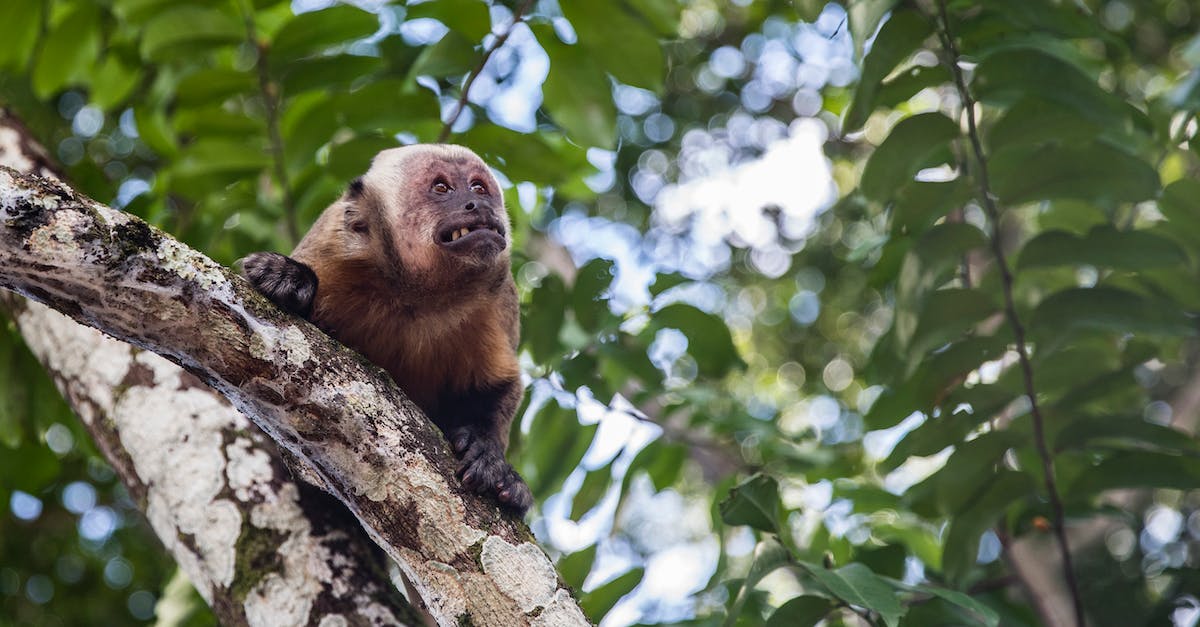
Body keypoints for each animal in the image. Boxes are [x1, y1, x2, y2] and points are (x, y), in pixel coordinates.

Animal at [240, 144, 533, 514]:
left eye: (478, 188)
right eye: (442, 188)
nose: (477, 204)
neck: (416, 295)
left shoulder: (499, 298)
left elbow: (502, 385)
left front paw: (489, 453)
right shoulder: (332, 242)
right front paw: (289, 278)